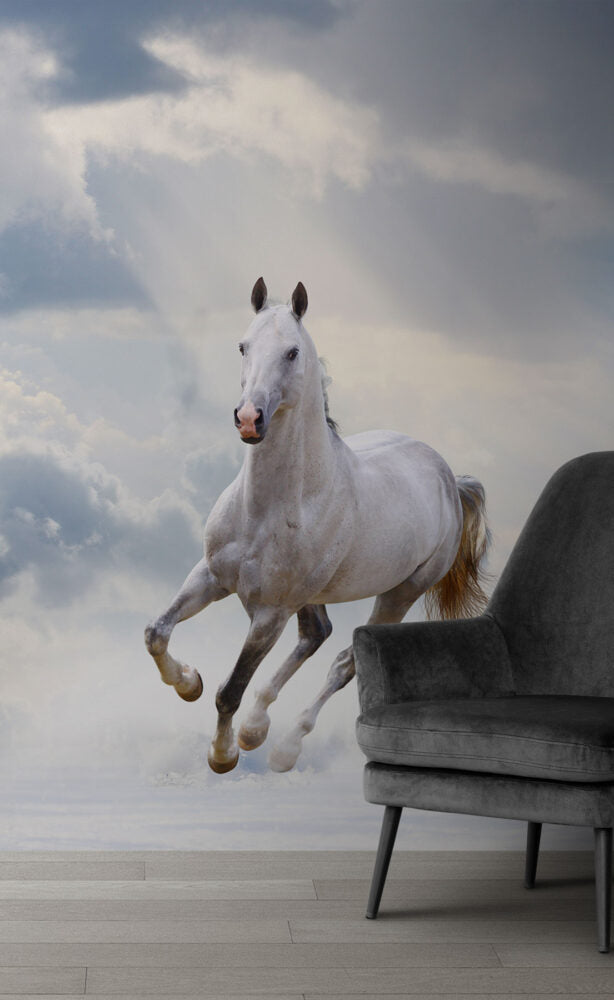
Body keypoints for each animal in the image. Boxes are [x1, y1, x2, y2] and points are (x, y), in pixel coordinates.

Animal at [144, 278, 491, 774]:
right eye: (243, 346)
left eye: (292, 352)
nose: (249, 418)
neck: (267, 508)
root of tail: (449, 478)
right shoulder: (211, 576)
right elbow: (157, 632)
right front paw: (189, 683)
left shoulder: (270, 613)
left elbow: (230, 690)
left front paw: (223, 754)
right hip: (315, 594)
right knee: (316, 635)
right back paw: (257, 729)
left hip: (400, 593)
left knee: (344, 662)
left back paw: (282, 747)